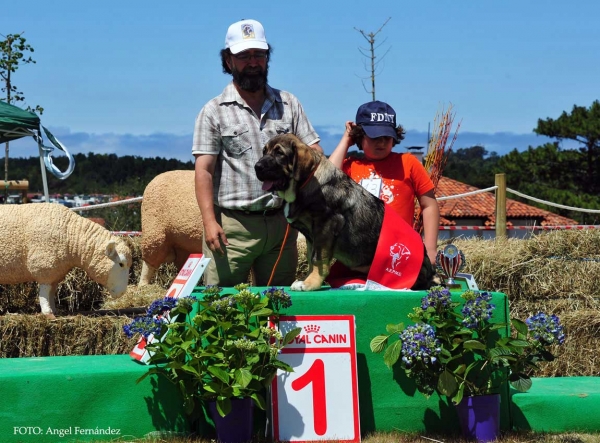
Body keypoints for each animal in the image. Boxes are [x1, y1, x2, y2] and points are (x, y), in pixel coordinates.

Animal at [0, 203, 132, 318]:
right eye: (121, 264)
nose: (122, 293)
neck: (70, 235)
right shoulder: (44, 266)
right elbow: (44, 292)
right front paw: (47, 312)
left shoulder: (55, 271)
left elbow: (51, 292)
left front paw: (53, 310)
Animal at [254, 133, 436, 292]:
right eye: (264, 151)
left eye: (279, 153)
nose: (257, 167)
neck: (305, 182)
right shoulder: (312, 235)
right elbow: (311, 259)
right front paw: (306, 280)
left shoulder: (324, 225)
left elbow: (317, 259)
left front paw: (311, 283)